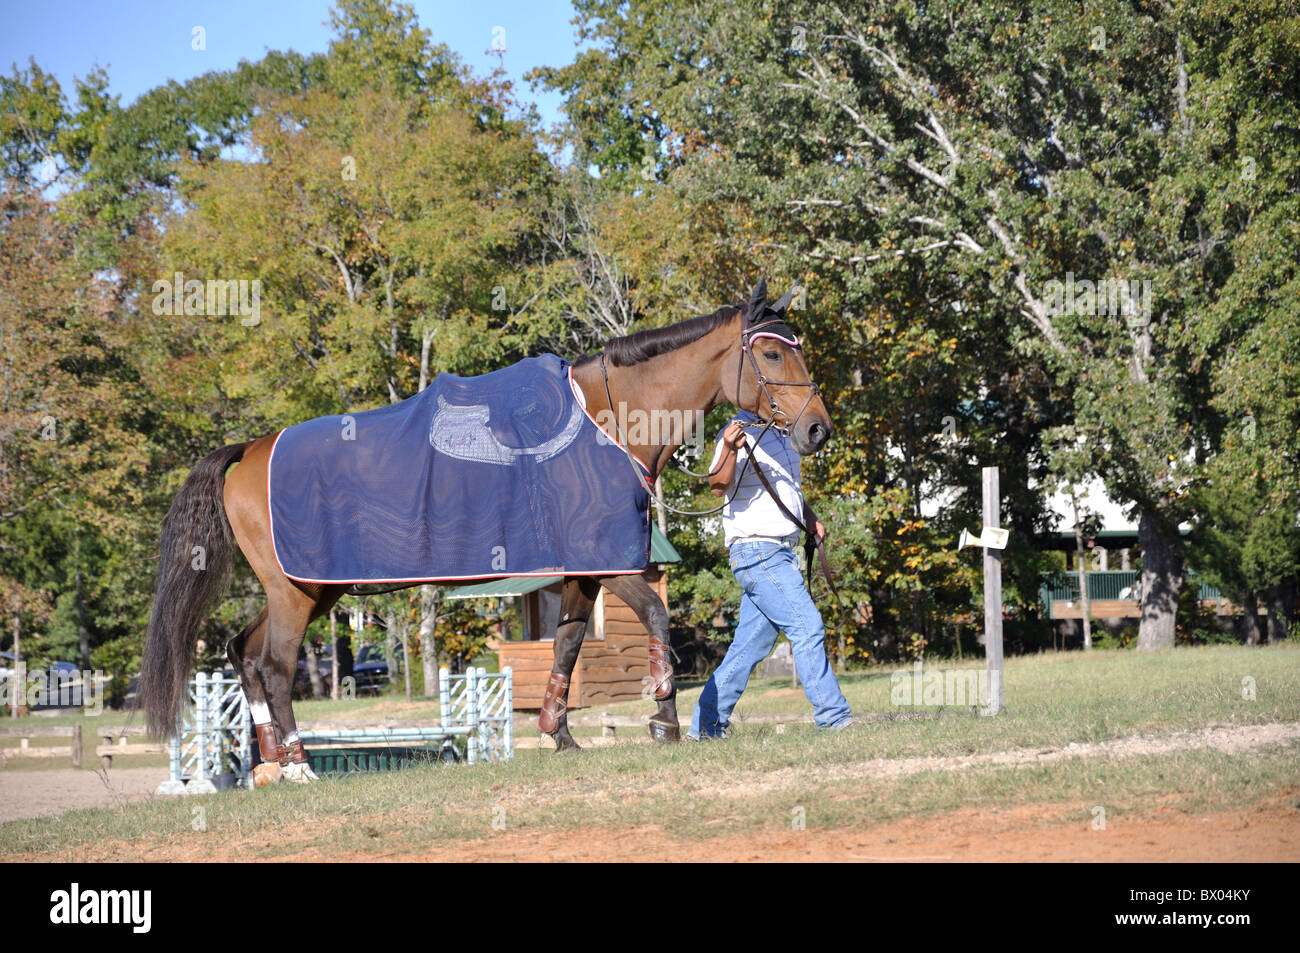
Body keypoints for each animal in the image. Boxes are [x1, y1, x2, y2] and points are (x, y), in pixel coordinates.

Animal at [139, 278, 832, 785]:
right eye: (772, 352)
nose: (817, 428)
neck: (606, 423)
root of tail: (252, 450)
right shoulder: (613, 564)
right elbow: (657, 621)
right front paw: (663, 719)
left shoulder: (581, 570)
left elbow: (567, 647)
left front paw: (559, 733)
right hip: (296, 592)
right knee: (276, 666)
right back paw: (301, 766)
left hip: (311, 590)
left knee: (244, 654)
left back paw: (270, 765)